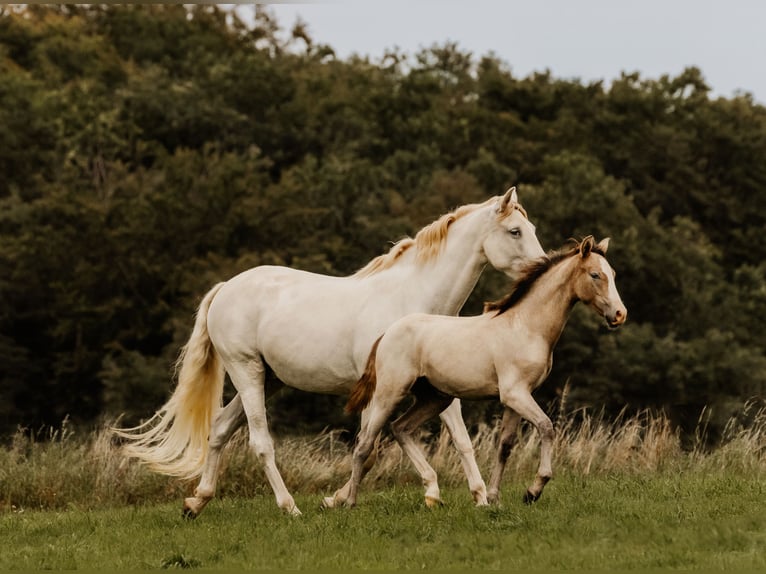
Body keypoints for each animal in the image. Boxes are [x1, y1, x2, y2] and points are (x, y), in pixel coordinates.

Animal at [114, 188, 544, 516]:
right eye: (515, 230)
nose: (542, 267)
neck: (413, 300)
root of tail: (225, 289)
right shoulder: (381, 391)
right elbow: (368, 447)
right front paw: (341, 499)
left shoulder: (436, 385)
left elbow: (459, 439)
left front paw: (478, 497)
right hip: (247, 372)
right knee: (260, 442)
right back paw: (289, 508)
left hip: (268, 380)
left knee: (219, 429)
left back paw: (196, 503)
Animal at [340, 237, 628, 508]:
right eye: (595, 275)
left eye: (613, 273)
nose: (619, 314)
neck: (526, 326)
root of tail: (386, 334)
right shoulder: (514, 394)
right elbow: (546, 427)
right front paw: (533, 491)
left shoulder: (517, 398)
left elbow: (505, 446)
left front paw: (493, 497)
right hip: (390, 394)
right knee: (365, 443)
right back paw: (349, 501)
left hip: (435, 398)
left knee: (400, 428)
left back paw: (432, 496)